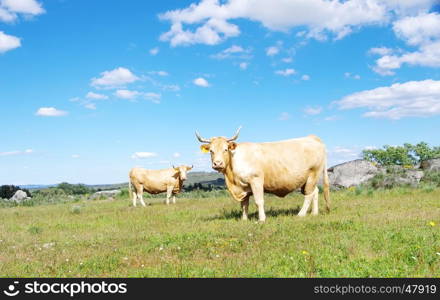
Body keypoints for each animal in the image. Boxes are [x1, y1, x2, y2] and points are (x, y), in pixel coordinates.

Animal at [196, 127, 330, 221]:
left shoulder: (256, 180)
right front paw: (244, 219)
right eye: (211, 151)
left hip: (313, 174)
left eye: (225, 149)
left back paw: (301, 214)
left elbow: (258, 200)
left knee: (309, 195)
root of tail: (313, 137)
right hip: (308, 179)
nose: (217, 163)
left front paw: (261, 219)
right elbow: (244, 204)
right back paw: (314, 213)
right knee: (315, 192)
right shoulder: (243, 186)